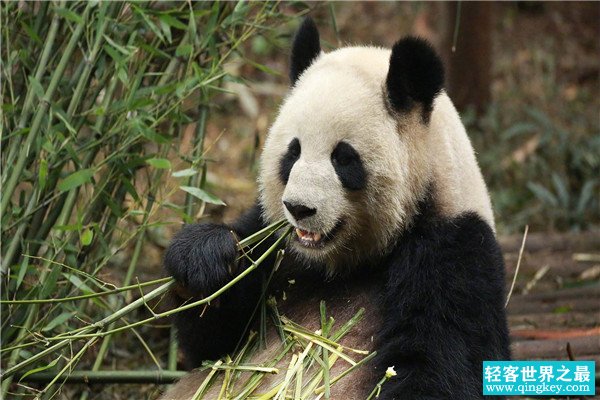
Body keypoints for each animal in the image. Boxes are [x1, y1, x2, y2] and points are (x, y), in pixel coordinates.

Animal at [162, 17, 508, 398]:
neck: (339, 265)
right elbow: (212, 349)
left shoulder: (454, 253)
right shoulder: (273, 242)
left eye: (343, 158)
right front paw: (204, 258)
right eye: (293, 152)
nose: (298, 208)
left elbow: (443, 366)